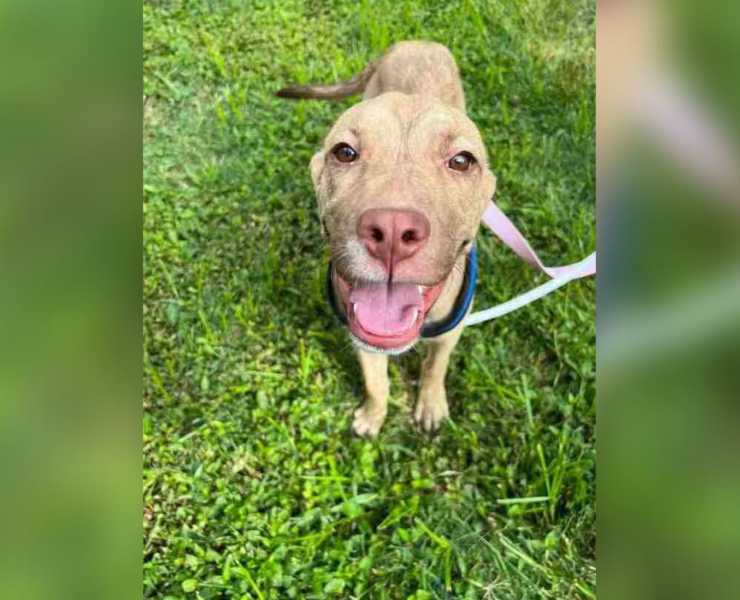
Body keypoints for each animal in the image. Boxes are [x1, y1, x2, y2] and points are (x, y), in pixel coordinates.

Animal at [278, 41, 498, 436]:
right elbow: (376, 382)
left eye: (462, 161)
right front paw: (373, 415)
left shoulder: (450, 333)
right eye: (345, 152)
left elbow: (434, 367)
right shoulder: (362, 338)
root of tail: (414, 41)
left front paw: (430, 404)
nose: (393, 231)